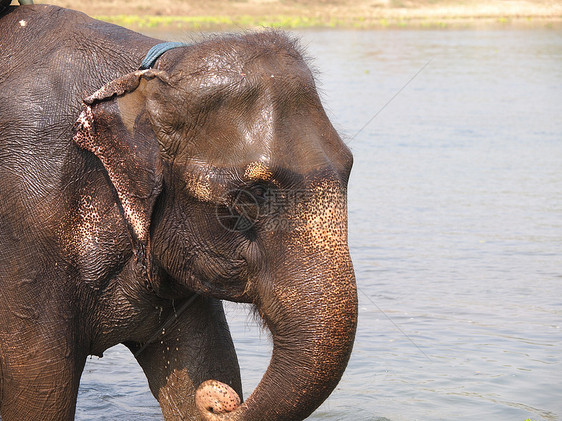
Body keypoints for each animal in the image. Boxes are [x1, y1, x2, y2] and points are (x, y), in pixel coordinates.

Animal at [0, 4, 356, 420]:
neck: (149, 78)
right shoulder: (26, 231)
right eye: (248, 198)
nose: (219, 400)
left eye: (349, 168)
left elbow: (205, 362)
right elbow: (39, 391)